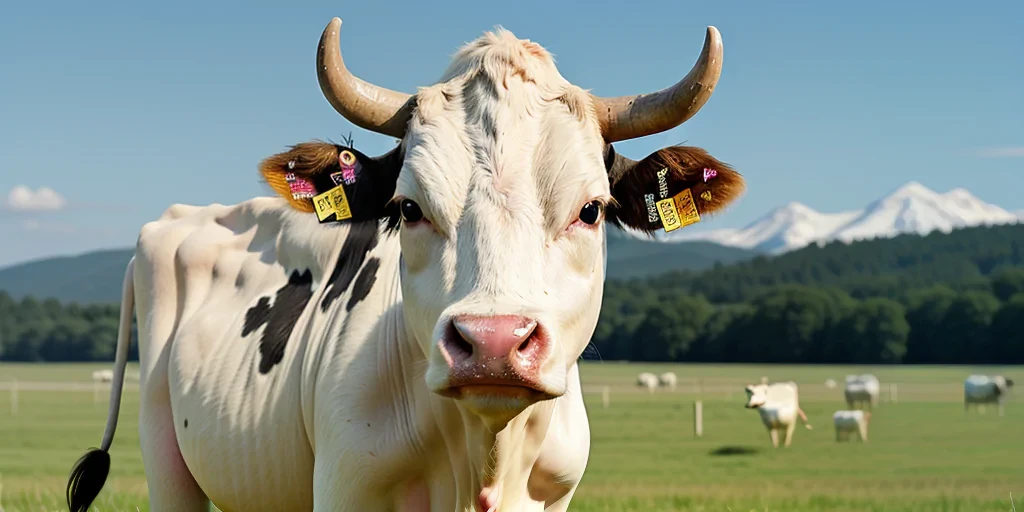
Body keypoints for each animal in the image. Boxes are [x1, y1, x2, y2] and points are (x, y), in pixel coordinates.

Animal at [65, 16, 745, 512]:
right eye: (409, 207)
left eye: (591, 210)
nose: (493, 342)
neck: (482, 460)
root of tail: (179, 216)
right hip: (166, 460)